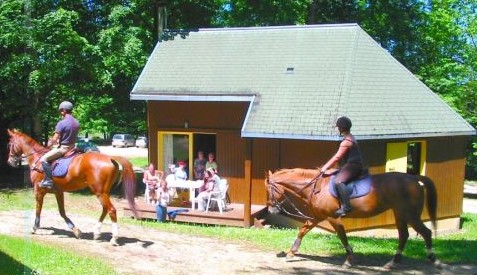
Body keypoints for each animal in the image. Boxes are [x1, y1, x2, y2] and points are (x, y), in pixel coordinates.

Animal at [6, 129, 138, 246]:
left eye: (10, 144)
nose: (10, 162)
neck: (38, 159)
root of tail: (109, 158)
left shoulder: (38, 191)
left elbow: (38, 210)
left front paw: (34, 228)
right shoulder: (58, 192)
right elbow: (62, 212)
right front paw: (75, 231)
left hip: (100, 192)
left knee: (111, 210)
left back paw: (113, 239)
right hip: (103, 192)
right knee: (105, 209)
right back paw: (96, 233)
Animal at [264, 168, 438, 270]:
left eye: (268, 190)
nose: (271, 210)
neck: (317, 188)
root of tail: (414, 179)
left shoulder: (332, 217)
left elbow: (342, 236)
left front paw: (349, 260)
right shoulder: (317, 216)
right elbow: (303, 230)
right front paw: (291, 253)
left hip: (410, 214)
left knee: (426, 232)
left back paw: (434, 260)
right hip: (400, 213)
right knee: (404, 235)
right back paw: (392, 262)